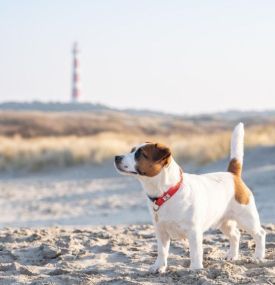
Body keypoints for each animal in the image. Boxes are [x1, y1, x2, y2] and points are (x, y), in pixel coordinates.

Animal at [113, 123, 266, 272]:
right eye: (132, 150)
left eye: (140, 154)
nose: (116, 157)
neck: (167, 192)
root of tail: (233, 175)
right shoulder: (161, 231)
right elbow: (162, 251)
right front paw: (159, 267)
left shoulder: (194, 231)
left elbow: (195, 252)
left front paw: (196, 269)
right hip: (224, 222)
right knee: (235, 235)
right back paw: (232, 256)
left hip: (247, 218)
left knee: (260, 234)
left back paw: (258, 257)